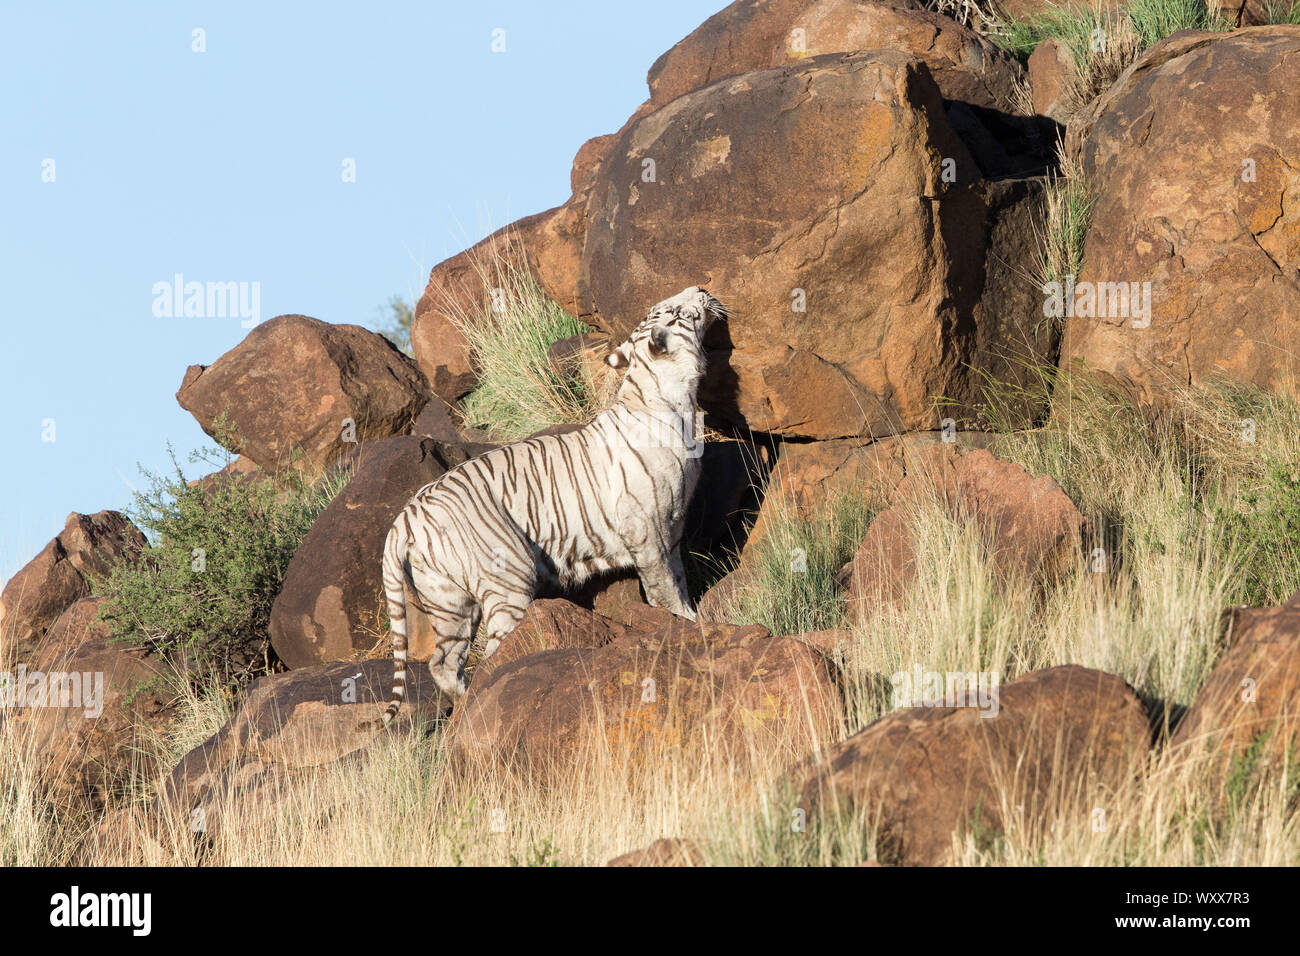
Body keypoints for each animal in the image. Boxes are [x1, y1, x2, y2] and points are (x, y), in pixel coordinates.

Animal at [379, 287, 728, 723]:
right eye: (677, 310)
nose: (701, 289)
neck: (673, 396)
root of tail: (406, 516)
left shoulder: (672, 527)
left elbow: (678, 580)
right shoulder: (649, 531)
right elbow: (665, 589)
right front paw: (687, 622)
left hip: (447, 598)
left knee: (442, 661)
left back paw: (462, 699)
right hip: (508, 574)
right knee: (494, 648)